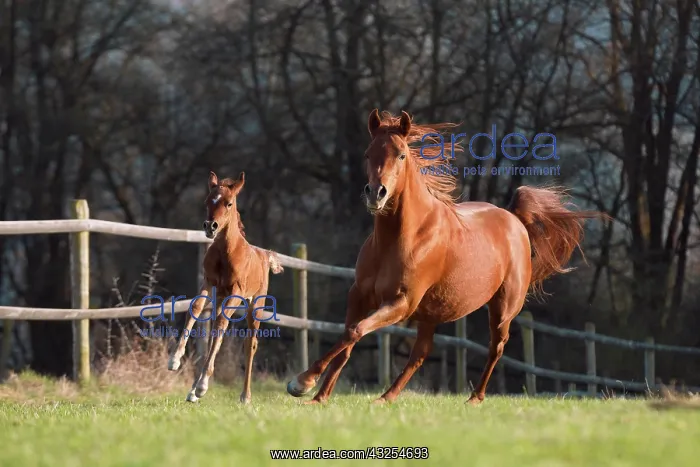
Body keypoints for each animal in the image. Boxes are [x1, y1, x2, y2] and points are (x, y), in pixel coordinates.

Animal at [168, 171, 283, 404]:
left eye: (228, 203)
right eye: (207, 201)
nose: (210, 226)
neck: (226, 252)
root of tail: (265, 255)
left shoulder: (236, 292)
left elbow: (222, 325)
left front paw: (203, 385)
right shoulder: (208, 283)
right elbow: (195, 310)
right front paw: (174, 360)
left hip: (254, 305)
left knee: (250, 344)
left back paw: (244, 396)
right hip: (221, 298)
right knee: (215, 335)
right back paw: (193, 391)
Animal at [286, 109, 602, 405]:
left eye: (401, 154)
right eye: (367, 153)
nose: (376, 194)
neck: (402, 238)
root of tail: (514, 219)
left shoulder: (401, 303)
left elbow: (355, 332)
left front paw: (302, 383)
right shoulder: (360, 295)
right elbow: (349, 337)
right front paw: (318, 397)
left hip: (502, 308)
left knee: (496, 348)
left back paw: (474, 398)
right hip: (431, 314)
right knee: (421, 353)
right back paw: (385, 398)